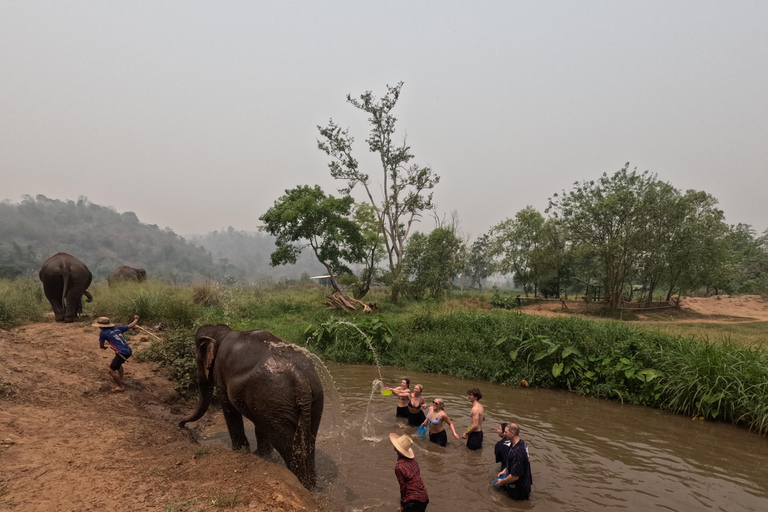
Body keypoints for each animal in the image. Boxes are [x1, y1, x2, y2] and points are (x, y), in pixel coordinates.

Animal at [178, 324, 322, 488]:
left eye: (195, 357)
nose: (181, 425)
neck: (222, 333)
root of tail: (299, 377)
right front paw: (261, 455)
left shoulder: (221, 375)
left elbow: (229, 408)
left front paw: (240, 451)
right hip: (308, 400)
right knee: (309, 437)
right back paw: (312, 483)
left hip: (275, 401)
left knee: (284, 442)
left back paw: (301, 483)